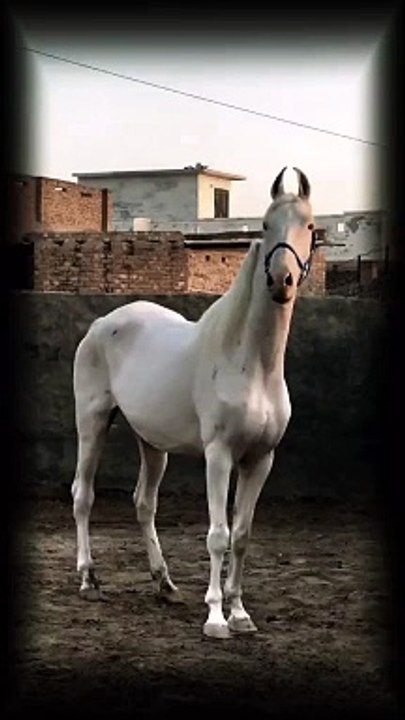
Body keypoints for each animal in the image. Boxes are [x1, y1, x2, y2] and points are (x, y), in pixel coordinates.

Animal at [71, 166, 317, 639]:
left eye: (310, 226)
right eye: (264, 225)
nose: (280, 281)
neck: (250, 362)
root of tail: (101, 323)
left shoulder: (261, 459)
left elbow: (242, 535)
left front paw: (240, 614)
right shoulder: (218, 454)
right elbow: (218, 534)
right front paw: (216, 617)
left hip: (151, 443)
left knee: (143, 503)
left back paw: (164, 584)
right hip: (92, 423)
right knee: (83, 495)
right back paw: (89, 579)